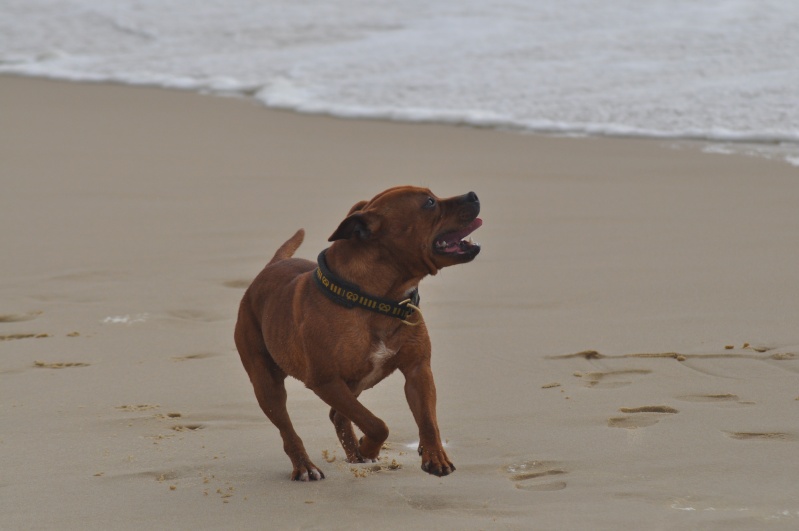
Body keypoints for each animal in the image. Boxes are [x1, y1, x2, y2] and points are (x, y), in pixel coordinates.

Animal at [233, 187, 482, 482]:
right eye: (430, 203)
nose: (473, 194)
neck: (377, 300)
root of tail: (270, 267)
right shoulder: (326, 381)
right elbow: (377, 424)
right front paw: (370, 446)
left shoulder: (418, 370)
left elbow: (428, 421)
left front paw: (435, 456)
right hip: (267, 385)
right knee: (288, 428)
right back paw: (305, 466)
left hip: (356, 383)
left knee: (338, 416)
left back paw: (354, 455)